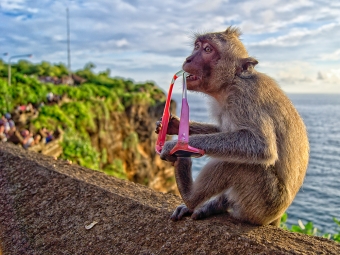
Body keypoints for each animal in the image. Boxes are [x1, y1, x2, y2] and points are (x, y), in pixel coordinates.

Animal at [155, 26, 310, 227]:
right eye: (197, 46)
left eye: (207, 50)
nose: (188, 59)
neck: (230, 83)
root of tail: (276, 217)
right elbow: (226, 131)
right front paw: (173, 124)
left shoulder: (244, 97)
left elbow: (261, 145)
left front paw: (174, 145)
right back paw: (214, 205)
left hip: (265, 203)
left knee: (241, 163)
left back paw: (189, 194)